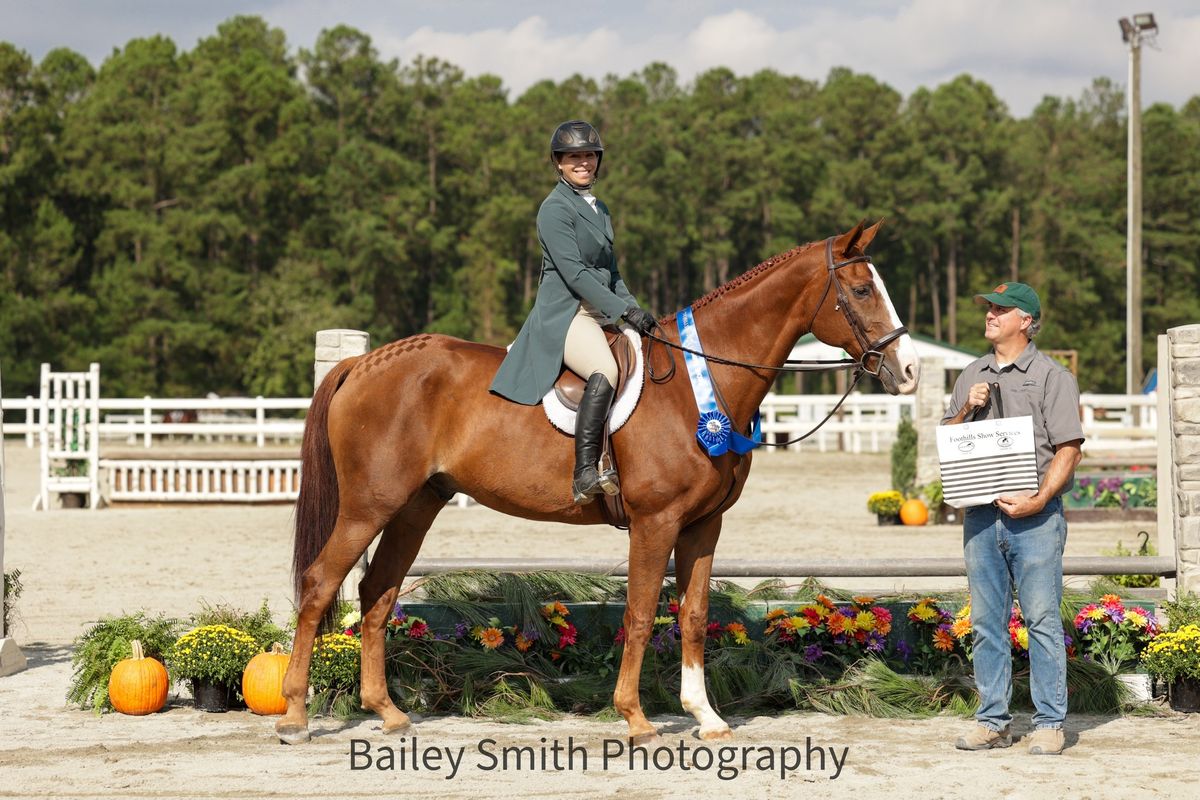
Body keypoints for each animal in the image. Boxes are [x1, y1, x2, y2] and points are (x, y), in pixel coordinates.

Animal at [278, 219, 916, 743]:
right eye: (863, 290)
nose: (907, 371)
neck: (701, 382)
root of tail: (366, 362)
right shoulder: (655, 523)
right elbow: (640, 615)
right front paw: (635, 718)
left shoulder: (703, 526)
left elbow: (693, 614)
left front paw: (706, 717)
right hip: (368, 506)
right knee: (320, 586)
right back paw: (294, 716)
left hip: (414, 507)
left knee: (376, 594)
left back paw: (388, 712)